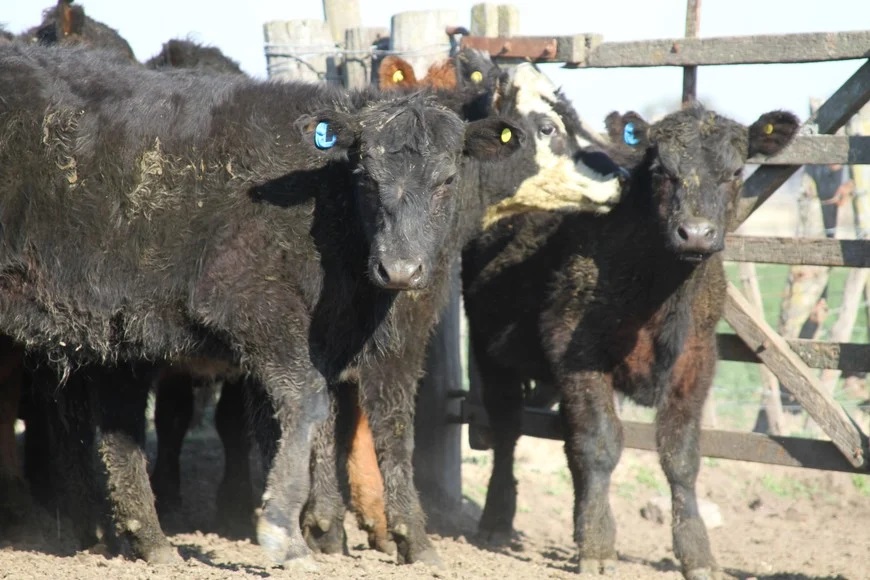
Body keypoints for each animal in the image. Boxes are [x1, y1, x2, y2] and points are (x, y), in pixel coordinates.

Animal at [0, 42, 528, 566]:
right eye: (366, 177)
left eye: (447, 179)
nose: (399, 269)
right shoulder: (253, 307)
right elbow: (311, 406)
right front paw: (287, 534)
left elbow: (350, 424)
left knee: (115, 427)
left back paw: (149, 543)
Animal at [461, 104, 799, 579]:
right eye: (661, 170)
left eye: (735, 171)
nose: (696, 233)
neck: (662, 293)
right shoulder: (579, 355)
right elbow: (600, 445)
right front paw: (599, 547)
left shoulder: (697, 361)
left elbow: (680, 457)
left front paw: (697, 554)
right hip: (490, 349)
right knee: (508, 429)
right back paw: (496, 520)